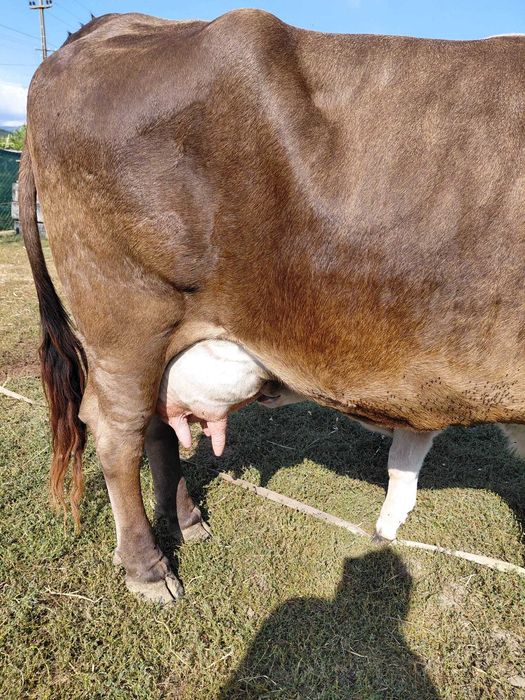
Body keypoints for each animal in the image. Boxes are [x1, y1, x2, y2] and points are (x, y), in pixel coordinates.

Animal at [20, 9, 525, 603]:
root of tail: (106, 26)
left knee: (157, 425)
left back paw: (186, 520)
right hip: (126, 321)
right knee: (115, 430)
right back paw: (148, 569)